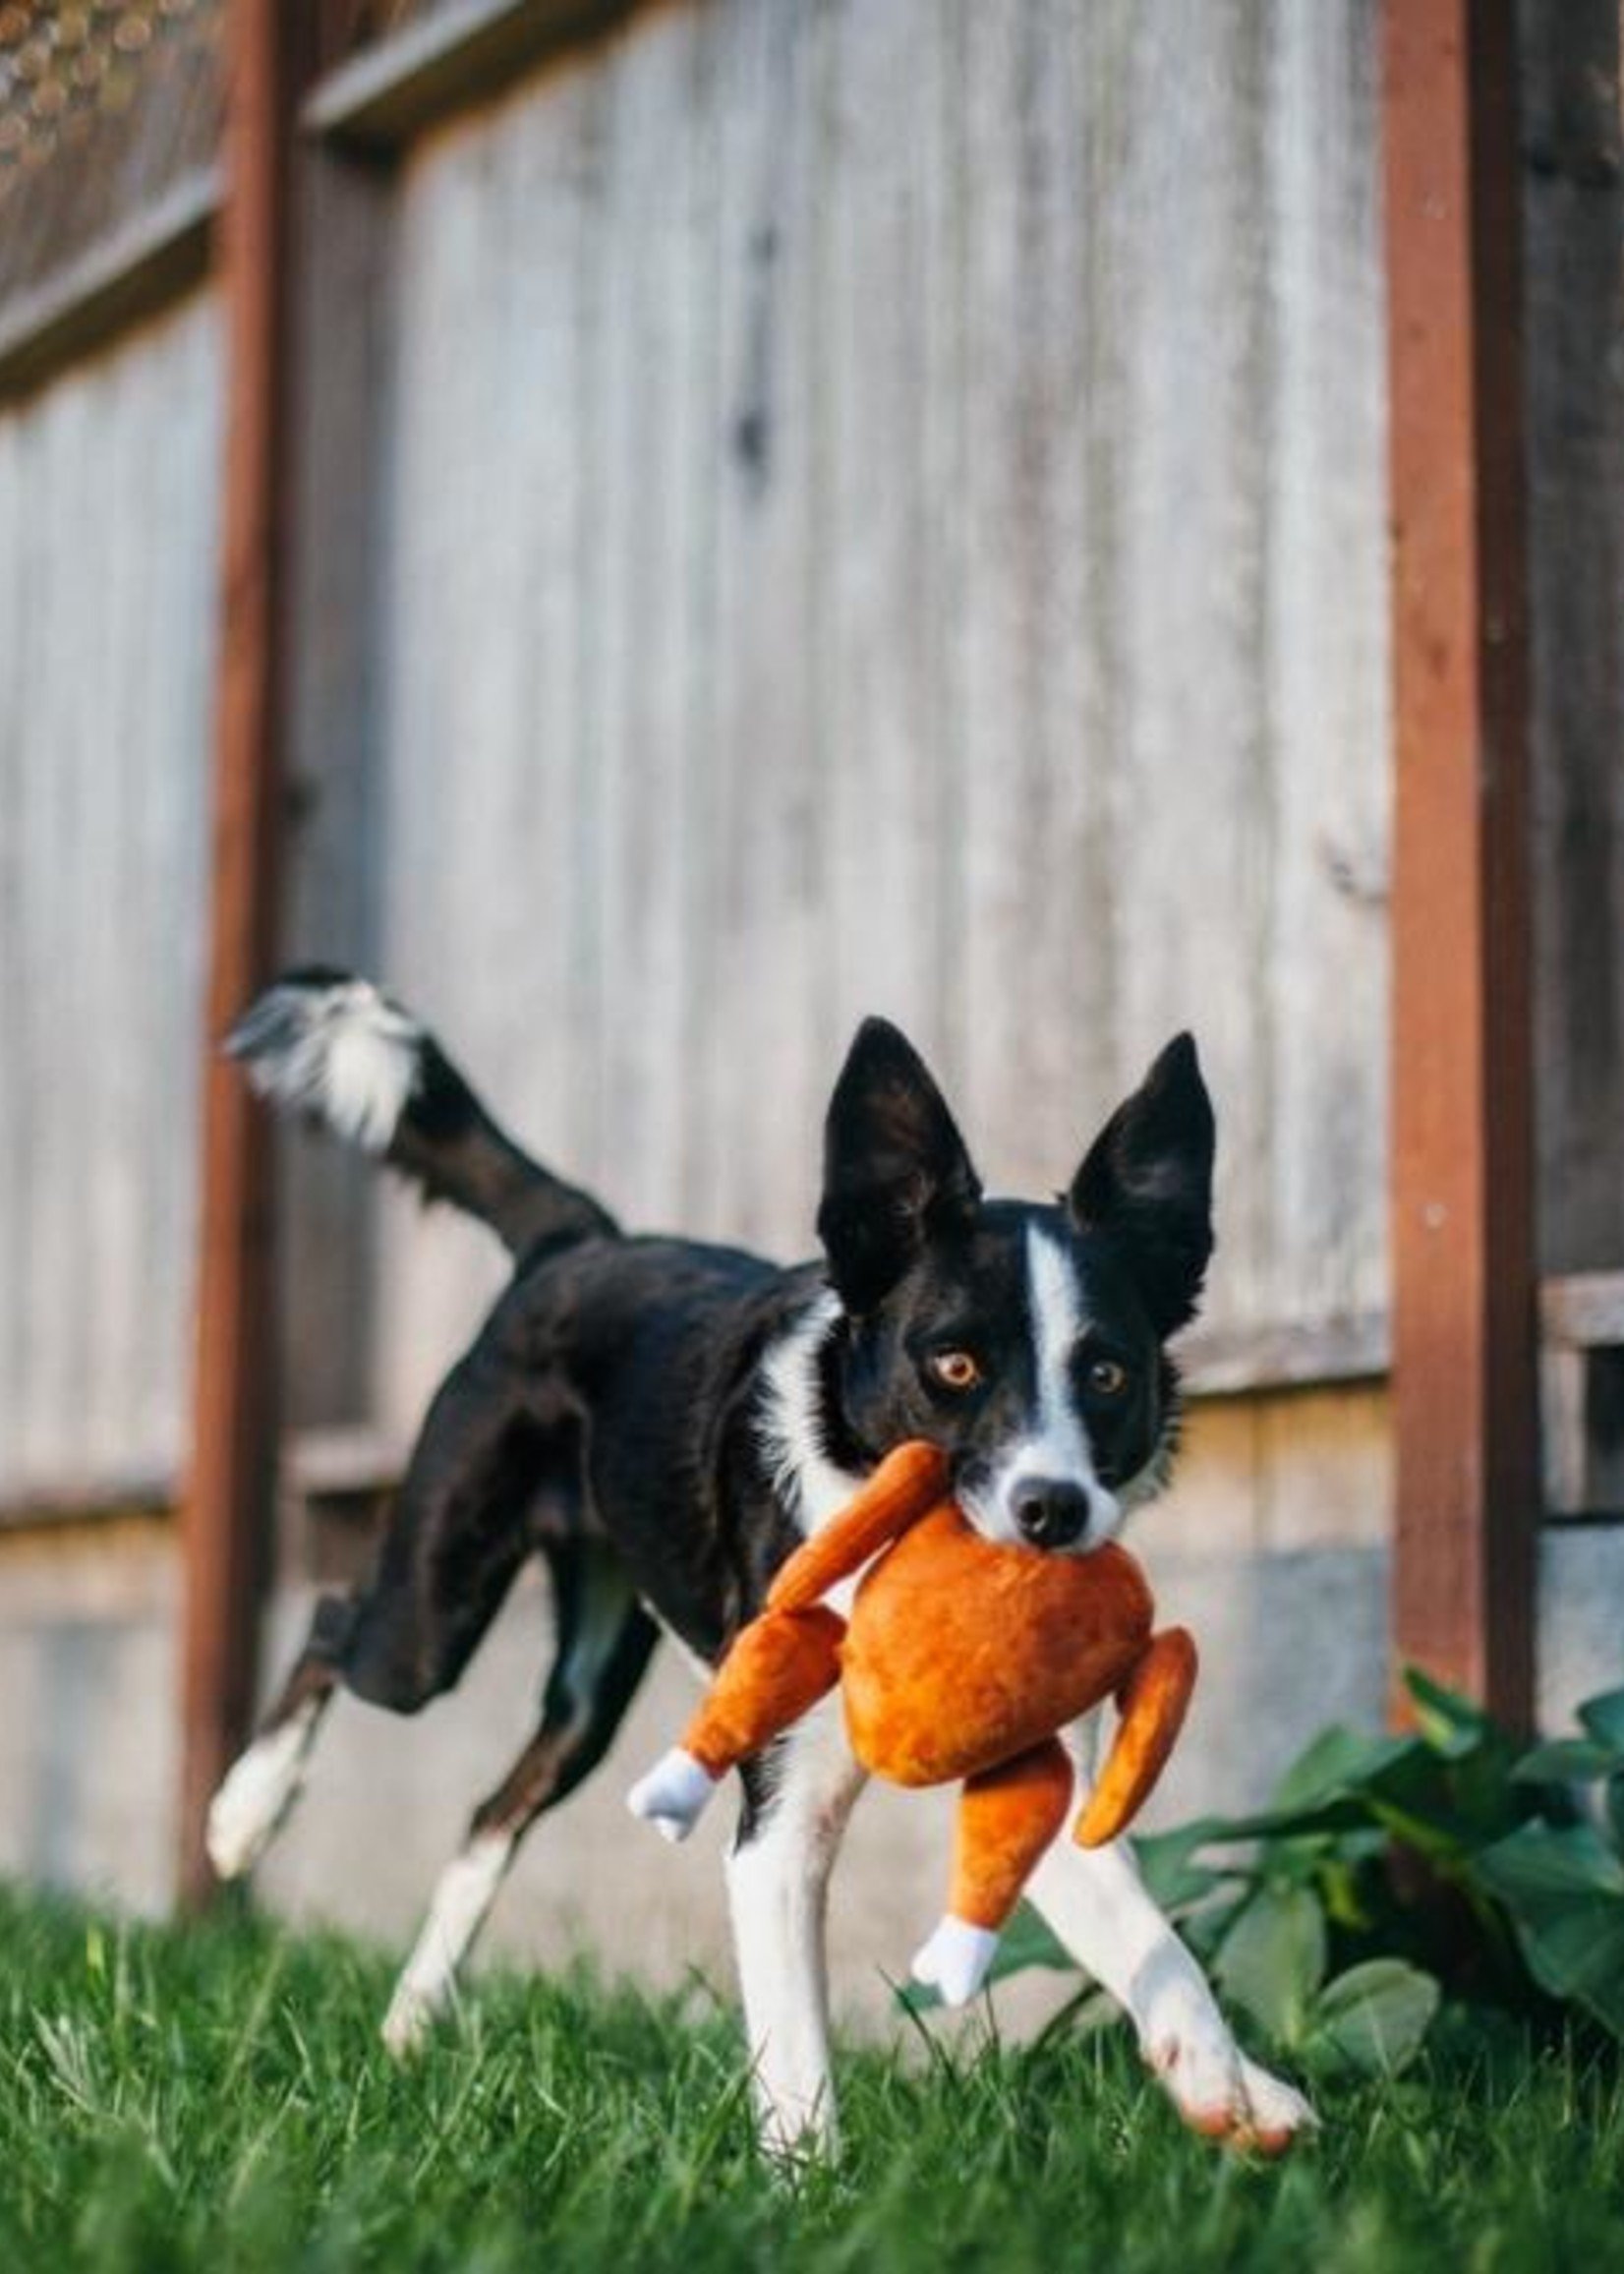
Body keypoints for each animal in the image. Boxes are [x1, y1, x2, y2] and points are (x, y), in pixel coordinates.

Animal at [208, 968, 1309, 2155]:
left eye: (1106, 1374)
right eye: (954, 1365)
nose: (1051, 1511)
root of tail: (578, 1241)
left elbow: (1157, 1945)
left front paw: (1226, 2084)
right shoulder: (778, 1825)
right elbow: (795, 2049)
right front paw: (811, 2177)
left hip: (589, 1692)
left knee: (493, 1808)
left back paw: (412, 2019)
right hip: (431, 1614)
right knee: (334, 1626)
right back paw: (242, 1816)